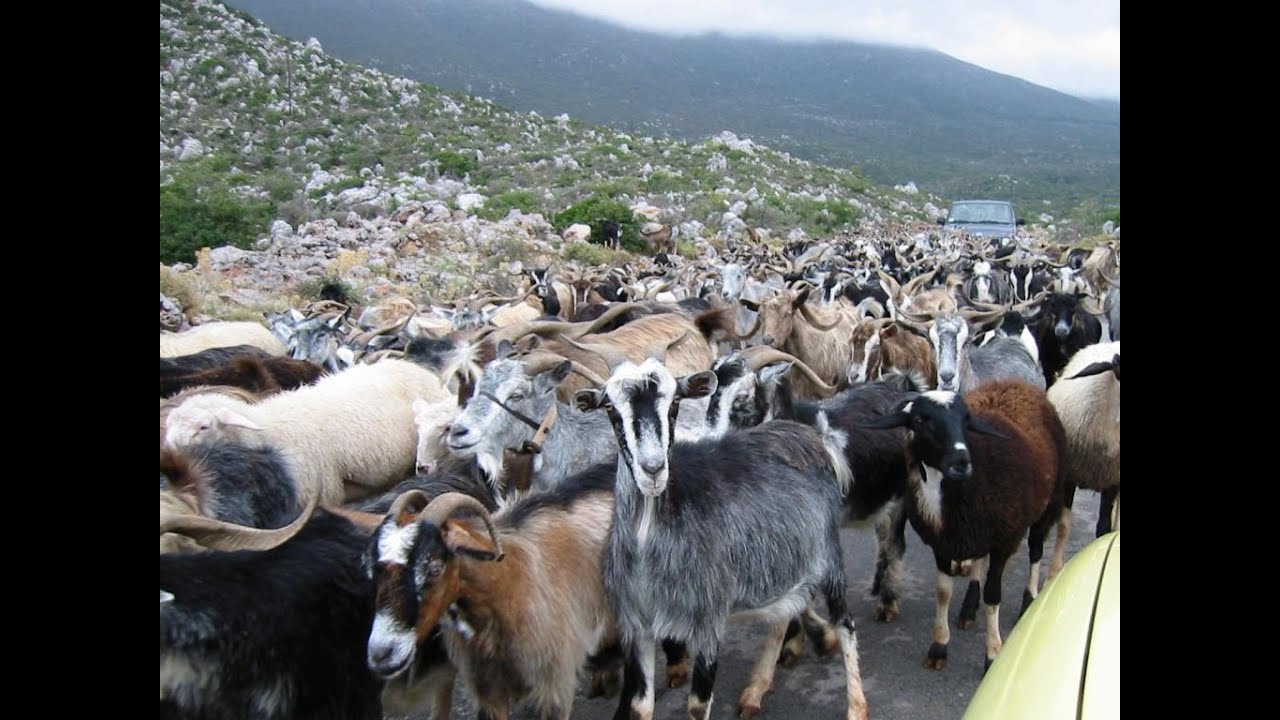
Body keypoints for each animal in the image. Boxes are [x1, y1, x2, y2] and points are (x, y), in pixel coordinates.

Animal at [575, 359, 869, 720]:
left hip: (829, 557)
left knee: (846, 624)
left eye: (674, 403)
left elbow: (698, 705)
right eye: (610, 408)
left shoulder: (707, 624)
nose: (653, 469)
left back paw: (856, 707)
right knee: (785, 613)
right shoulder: (637, 628)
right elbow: (641, 707)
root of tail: (808, 435)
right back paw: (755, 689)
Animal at [861, 381, 1067, 671]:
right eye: (920, 420)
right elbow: (943, 592)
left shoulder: (1003, 541)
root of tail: (1016, 383)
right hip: (979, 531)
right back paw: (969, 608)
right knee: (979, 562)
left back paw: (1028, 600)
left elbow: (993, 596)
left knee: (1036, 552)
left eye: (965, 420)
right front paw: (939, 646)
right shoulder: (943, 542)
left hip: (1047, 503)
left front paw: (992, 654)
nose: (961, 463)